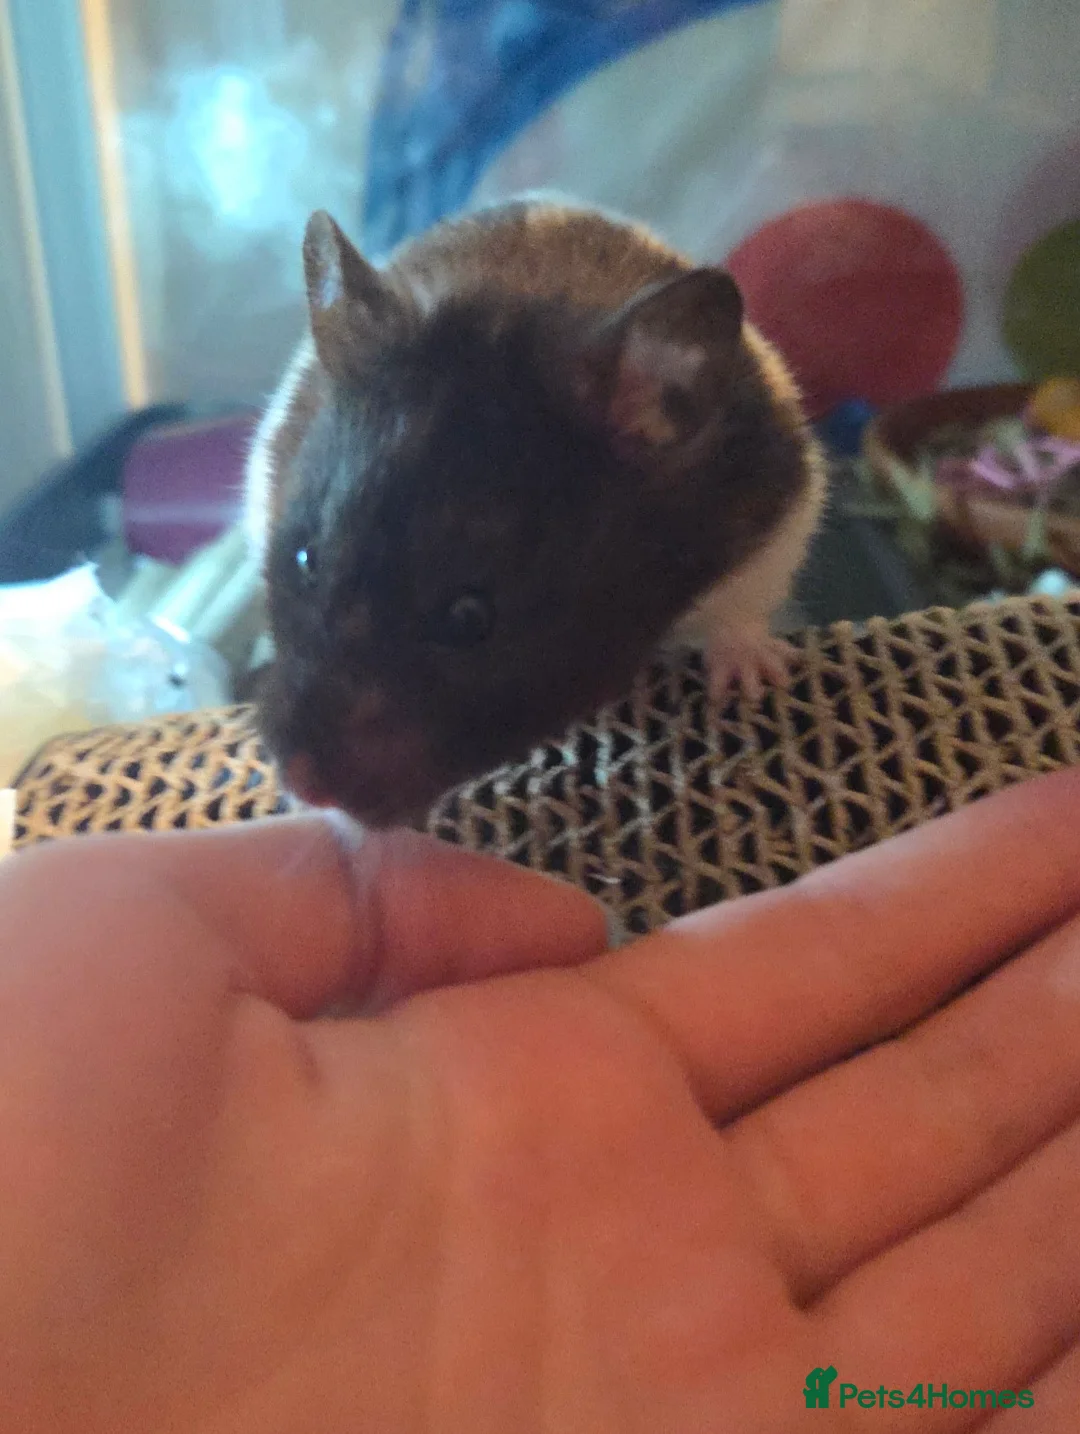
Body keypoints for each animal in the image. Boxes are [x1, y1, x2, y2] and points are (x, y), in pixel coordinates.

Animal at [246, 198, 827, 827]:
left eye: (469, 618)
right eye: (304, 560)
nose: (306, 788)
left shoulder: (779, 513)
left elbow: (741, 610)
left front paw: (752, 684)